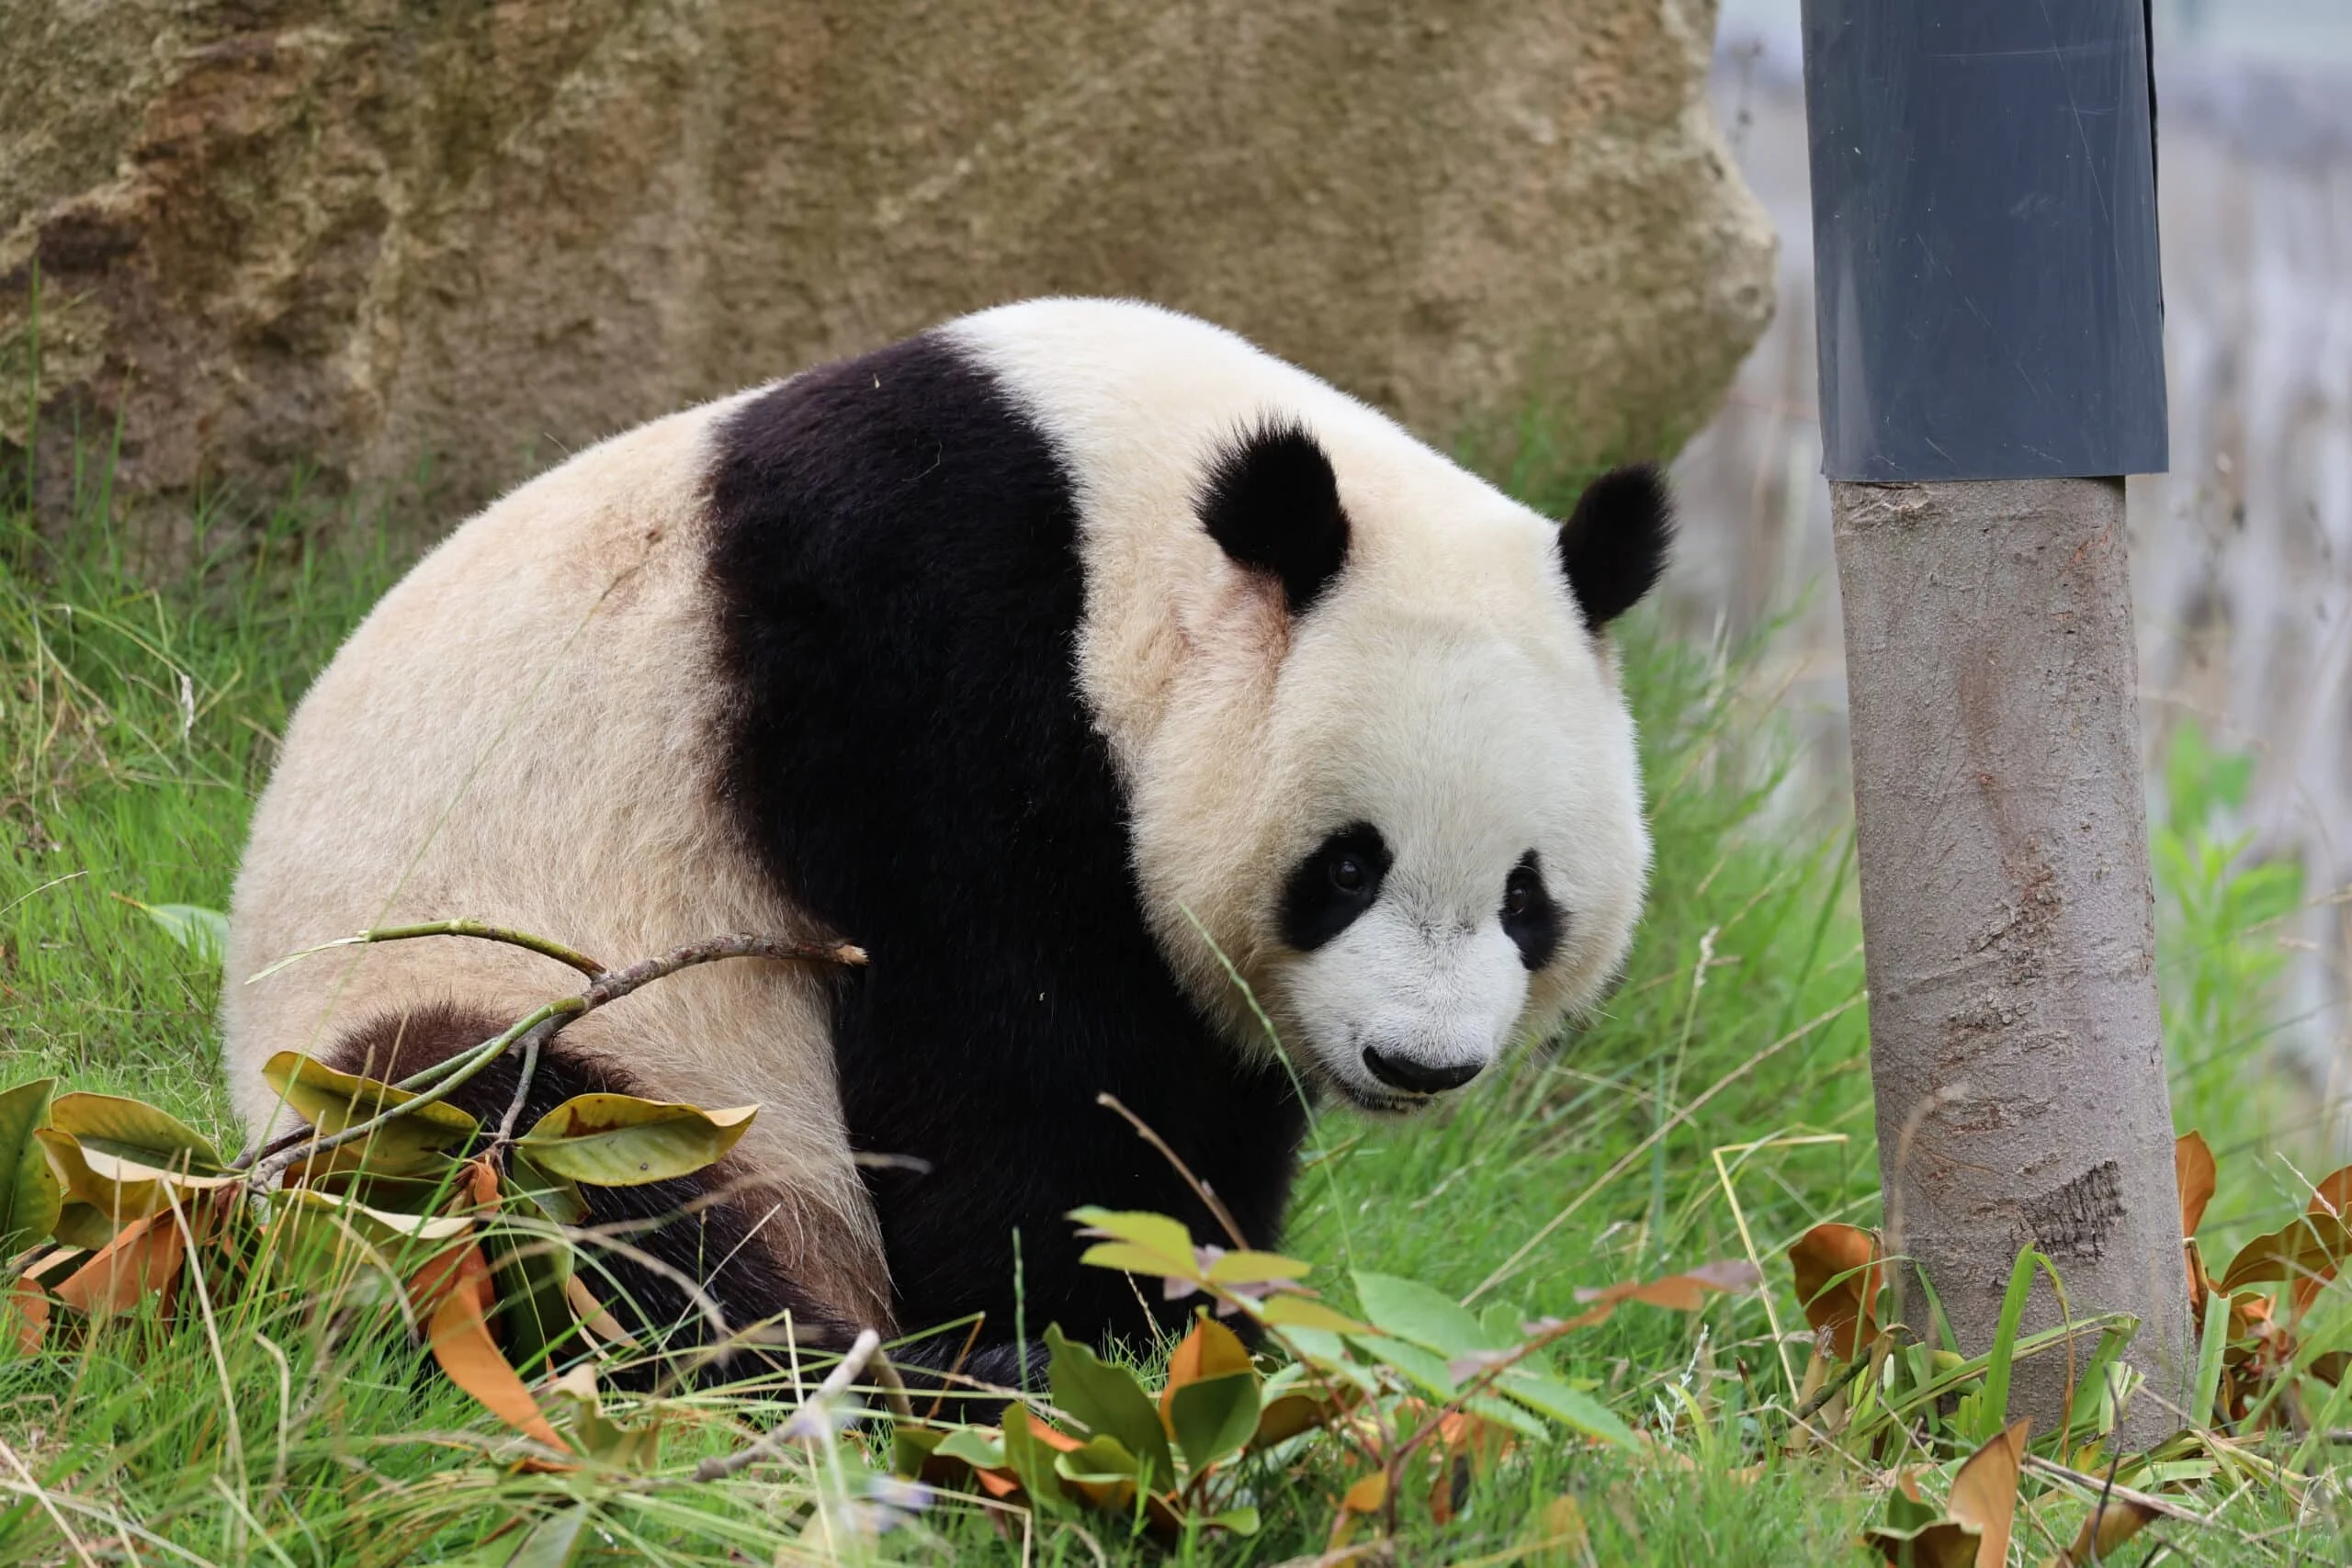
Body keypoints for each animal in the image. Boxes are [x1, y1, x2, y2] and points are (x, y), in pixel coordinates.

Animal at [221, 298, 1669, 1381]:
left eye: (1526, 897)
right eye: (1349, 865)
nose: (1421, 1061)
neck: (1124, 519)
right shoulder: (927, 659)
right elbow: (1014, 1064)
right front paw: (1093, 1334)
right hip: (535, 1014)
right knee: (528, 1161)